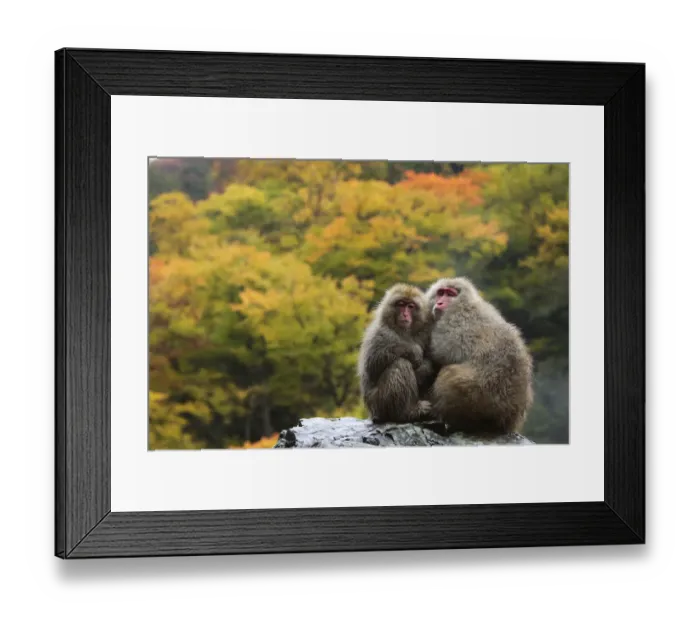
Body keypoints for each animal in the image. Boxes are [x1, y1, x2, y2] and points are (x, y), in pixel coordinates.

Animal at [357, 283, 436, 424]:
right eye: (401, 304)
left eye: (410, 306)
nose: (405, 314)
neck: (403, 332)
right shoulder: (380, 333)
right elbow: (373, 364)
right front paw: (414, 350)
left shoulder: (426, 332)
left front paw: (424, 368)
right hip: (379, 403)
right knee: (400, 363)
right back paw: (406, 413)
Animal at [424, 276, 534, 435]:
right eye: (440, 293)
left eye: (449, 294)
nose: (439, 303)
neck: (462, 303)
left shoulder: (454, 320)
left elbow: (443, 352)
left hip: (477, 395)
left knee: (448, 373)